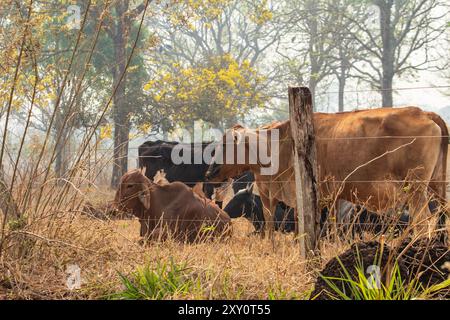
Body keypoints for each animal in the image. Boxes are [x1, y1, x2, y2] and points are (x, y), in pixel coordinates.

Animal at [206, 106, 448, 241]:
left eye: (225, 145)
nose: (209, 172)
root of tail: (423, 113)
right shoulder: (331, 197)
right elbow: (328, 227)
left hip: (415, 190)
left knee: (423, 222)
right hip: (437, 186)